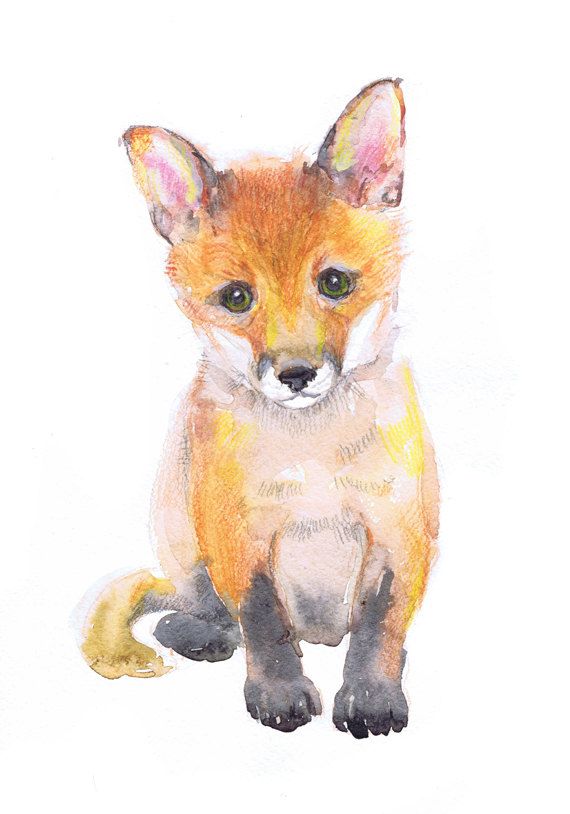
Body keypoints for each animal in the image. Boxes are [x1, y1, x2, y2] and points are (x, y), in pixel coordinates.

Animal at [79, 79, 439, 739]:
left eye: (335, 284)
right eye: (236, 298)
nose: (296, 375)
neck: (314, 464)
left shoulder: (399, 534)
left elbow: (380, 629)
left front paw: (372, 696)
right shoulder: (239, 537)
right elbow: (264, 621)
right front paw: (279, 695)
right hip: (179, 528)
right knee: (206, 610)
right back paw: (199, 633)